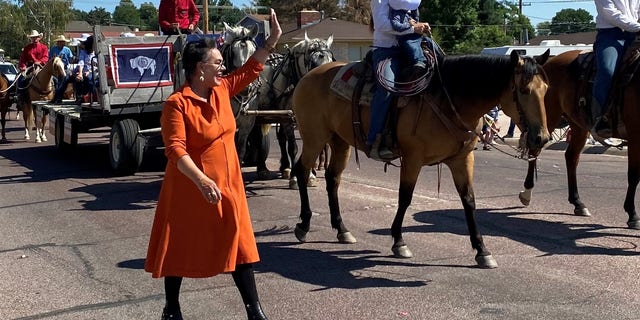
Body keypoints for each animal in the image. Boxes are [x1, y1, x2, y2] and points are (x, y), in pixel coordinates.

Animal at [290, 50, 552, 268]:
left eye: (546, 89)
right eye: (524, 90)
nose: (541, 138)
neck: (449, 99)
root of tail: (308, 76)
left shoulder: (462, 160)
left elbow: (469, 201)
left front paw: (482, 251)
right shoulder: (412, 159)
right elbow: (405, 198)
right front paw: (399, 241)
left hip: (339, 141)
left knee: (332, 179)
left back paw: (341, 229)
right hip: (314, 137)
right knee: (302, 170)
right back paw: (303, 225)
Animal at [504, 48, 640, 229]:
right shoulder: (635, 134)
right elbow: (634, 175)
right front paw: (632, 214)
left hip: (578, 125)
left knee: (571, 157)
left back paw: (577, 202)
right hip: (547, 118)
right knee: (535, 149)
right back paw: (527, 193)